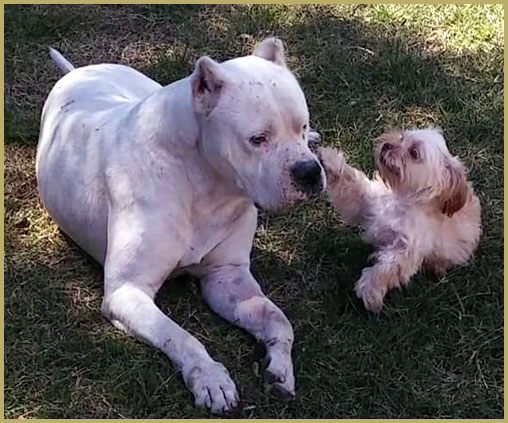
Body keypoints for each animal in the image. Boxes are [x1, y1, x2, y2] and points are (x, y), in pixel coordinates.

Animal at [35, 39, 326, 414]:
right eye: (257, 139)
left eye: (301, 126)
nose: (309, 171)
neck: (206, 183)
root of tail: (79, 72)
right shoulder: (127, 291)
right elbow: (182, 337)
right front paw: (211, 379)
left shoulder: (227, 277)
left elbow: (278, 319)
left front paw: (281, 369)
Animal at [320, 127, 482, 314]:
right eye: (402, 137)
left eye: (414, 152)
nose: (387, 145)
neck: (402, 199)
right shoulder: (367, 202)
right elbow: (350, 183)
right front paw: (328, 159)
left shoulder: (406, 248)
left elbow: (386, 268)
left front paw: (370, 290)